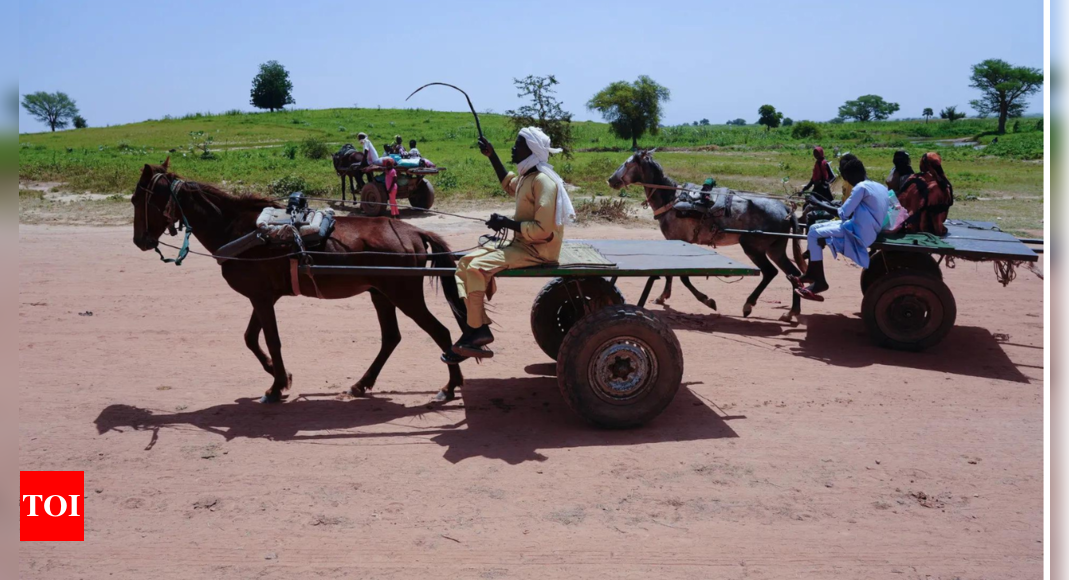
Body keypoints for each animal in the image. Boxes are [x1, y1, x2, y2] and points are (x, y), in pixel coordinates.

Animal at [131, 159, 470, 403]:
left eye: (137, 199)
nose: (139, 241)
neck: (239, 230)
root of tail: (413, 231)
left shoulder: (262, 298)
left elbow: (271, 339)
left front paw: (276, 386)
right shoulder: (262, 296)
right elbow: (251, 338)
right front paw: (278, 375)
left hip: (403, 294)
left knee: (440, 332)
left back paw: (450, 386)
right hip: (380, 293)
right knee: (391, 338)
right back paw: (362, 384)